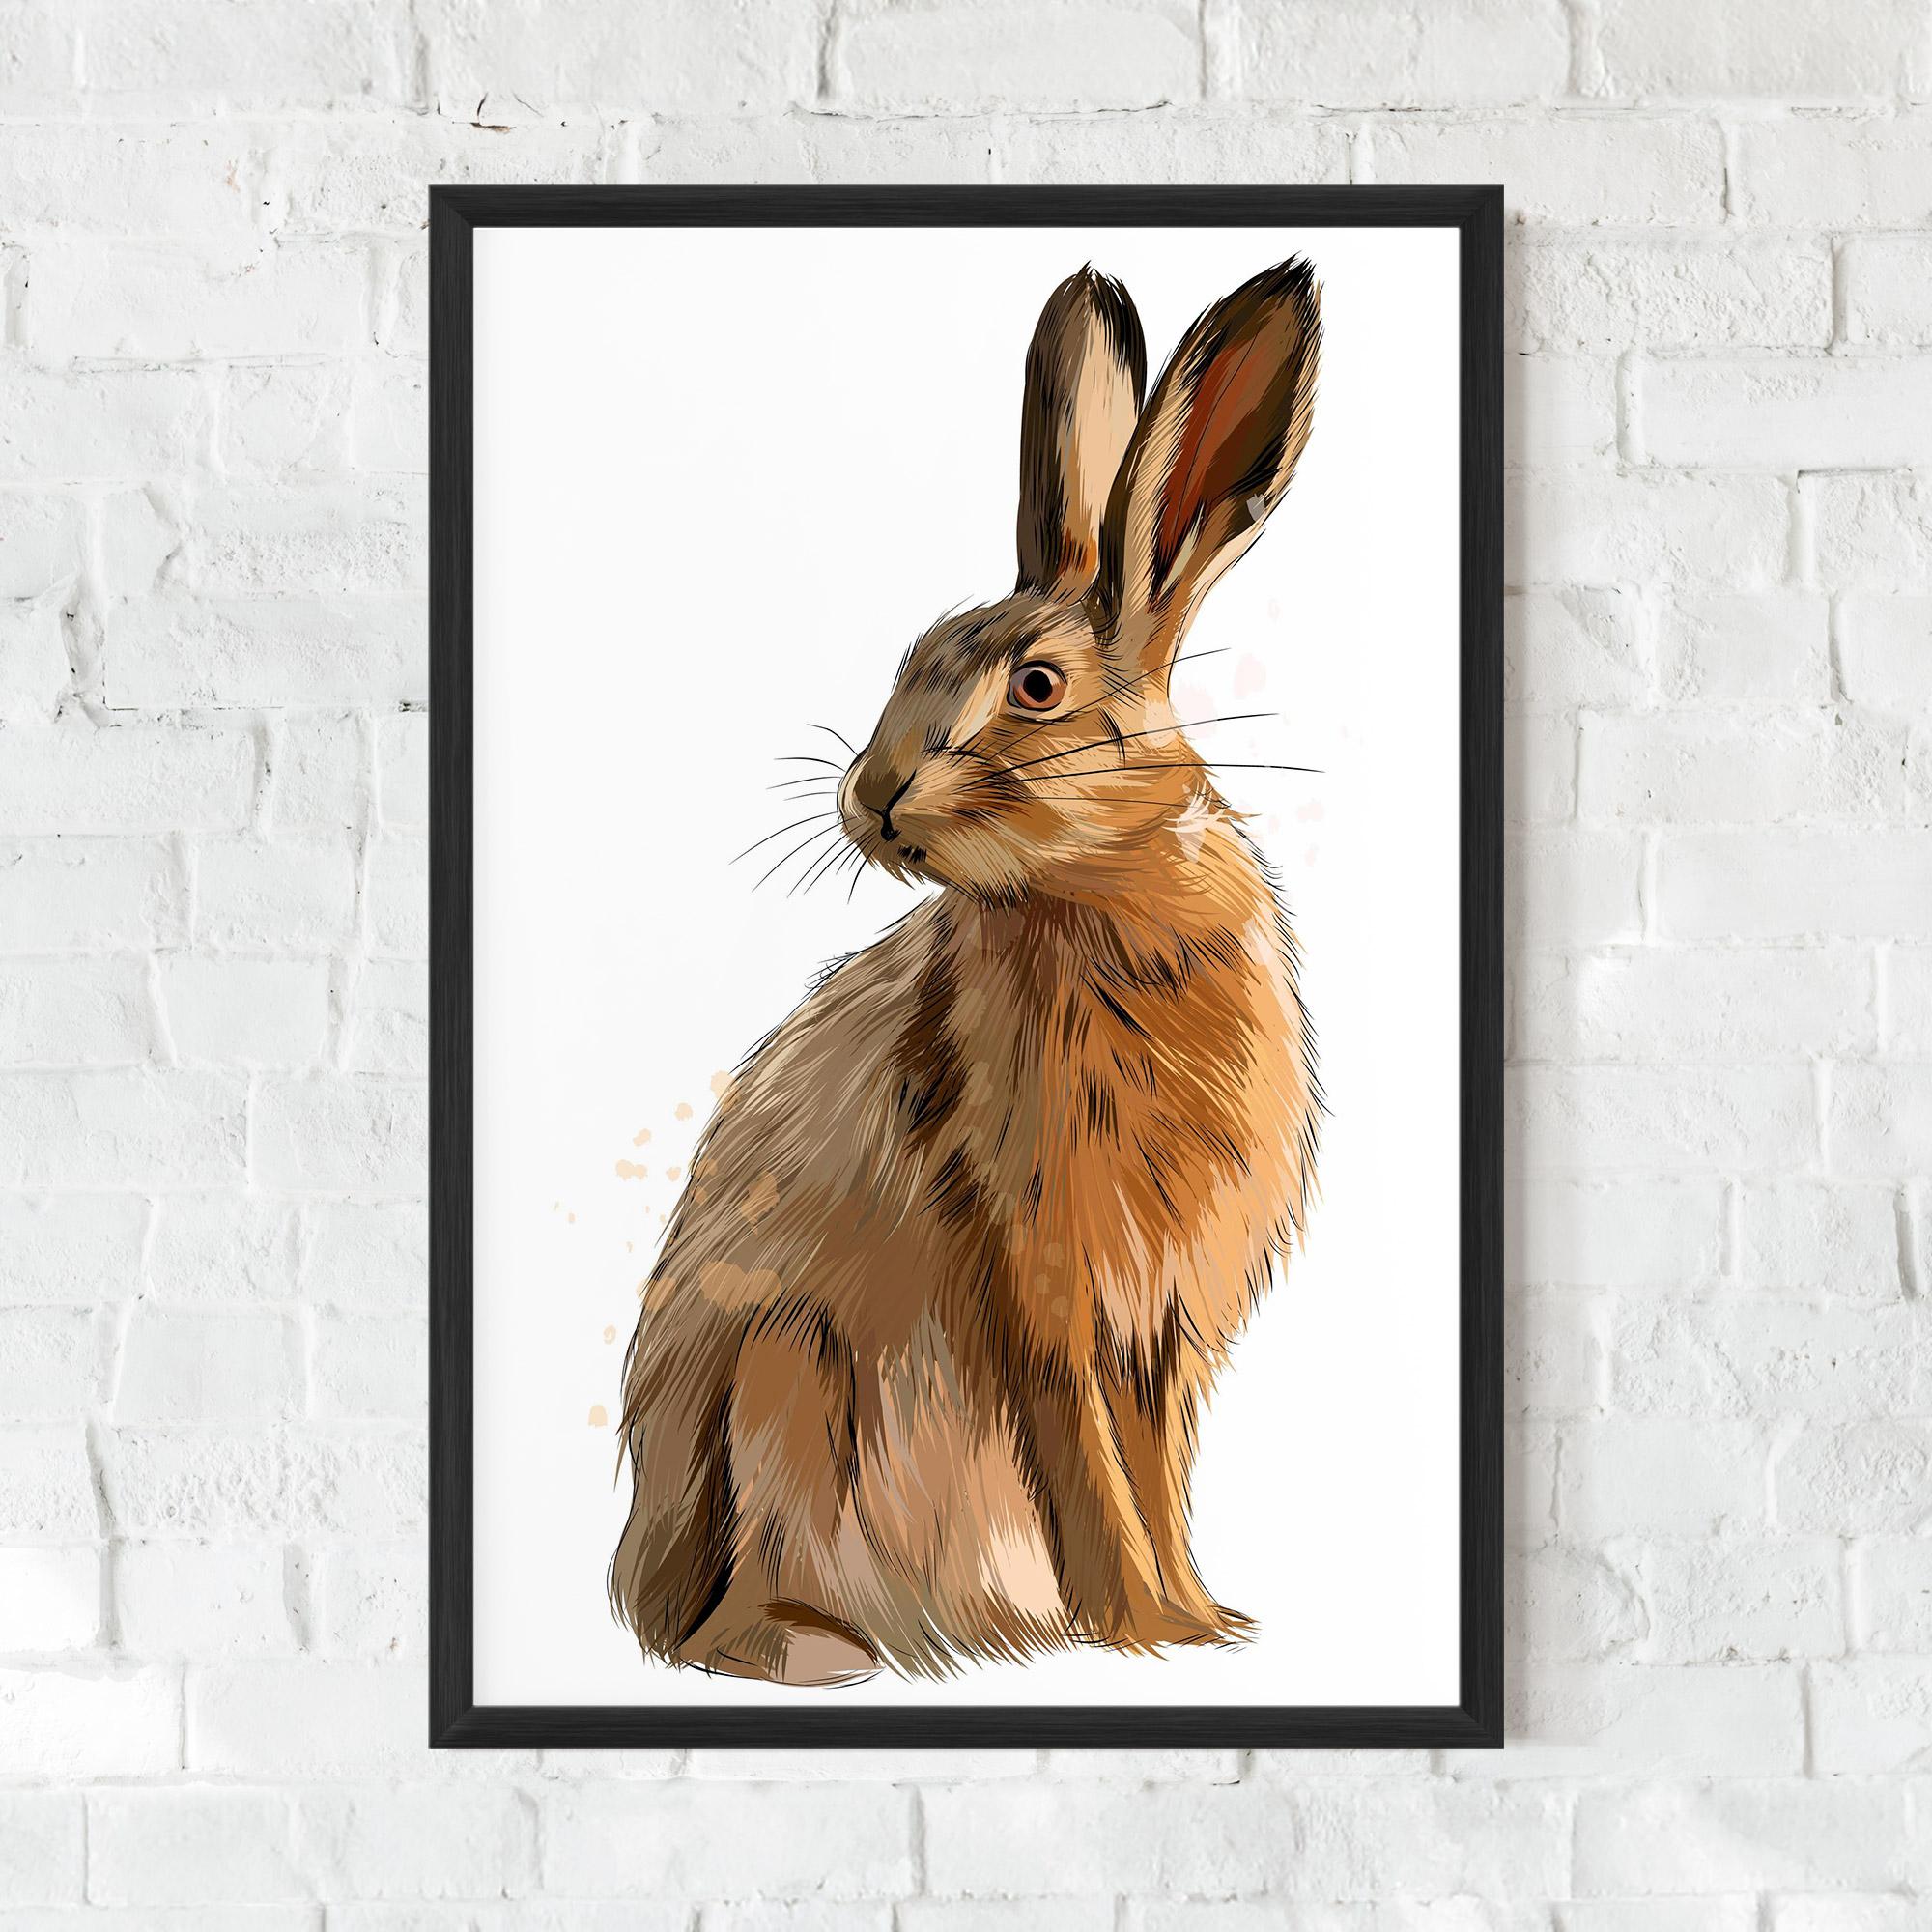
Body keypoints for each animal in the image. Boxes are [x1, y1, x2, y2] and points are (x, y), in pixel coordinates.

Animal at [610, 258, 1324, 1686]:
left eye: (1036, 687)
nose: (871, 799)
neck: (1098, 898)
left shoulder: (1158, 1330)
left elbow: (1154, 1474)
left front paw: (1196, 1621)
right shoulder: (1036, 1282)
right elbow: (1089, 1473)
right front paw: (1138, 1630)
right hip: (787, 1382)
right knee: (723, 1626)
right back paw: (823, 1649)